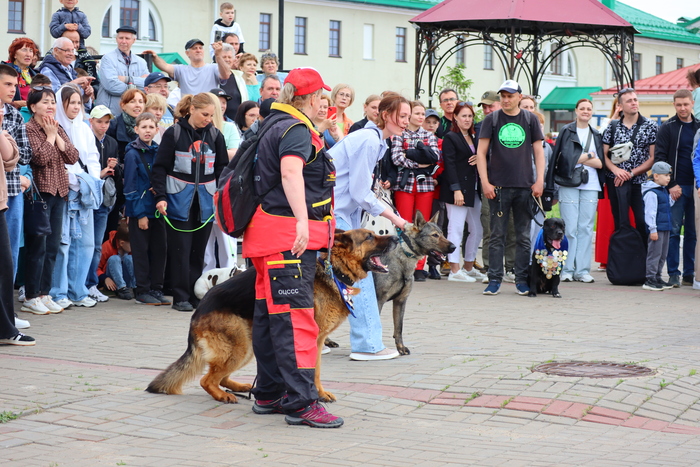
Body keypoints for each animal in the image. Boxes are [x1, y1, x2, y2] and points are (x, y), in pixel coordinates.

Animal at [146, 229, 398, 404]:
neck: (333, 269)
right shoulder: (311, 339)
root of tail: (199, 309)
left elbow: (315, 371)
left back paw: (240, 387)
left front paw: (318, 393)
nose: (396, 237)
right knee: (206, 379)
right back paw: (223, 395)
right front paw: (314, 395)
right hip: (240, 347)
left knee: (220, 377)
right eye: (369, 236)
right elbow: (312, 371)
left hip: (246, 347)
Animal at [373, 211, 456, 355]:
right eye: (435, 235)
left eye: (442, 233)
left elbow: (399, 328)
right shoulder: (379, 300)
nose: (454, 247)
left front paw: (401, 348)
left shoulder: (400, 301)